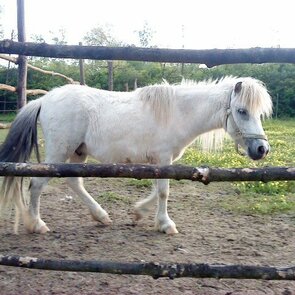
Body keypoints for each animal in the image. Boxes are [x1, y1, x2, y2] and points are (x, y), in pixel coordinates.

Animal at [0, 77, 272, 236]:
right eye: (242, 111)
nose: (262, 149)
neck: (178, 112)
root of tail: (44, 100)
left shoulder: (159, 161)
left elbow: (156, 190)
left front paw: (139, 213)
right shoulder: (163, 159)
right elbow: (163, 192)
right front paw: (165, 224)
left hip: (79, 153)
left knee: (74, 182)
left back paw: (101, 216)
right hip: (59, 152)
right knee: (36, 184)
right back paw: (37, 224)